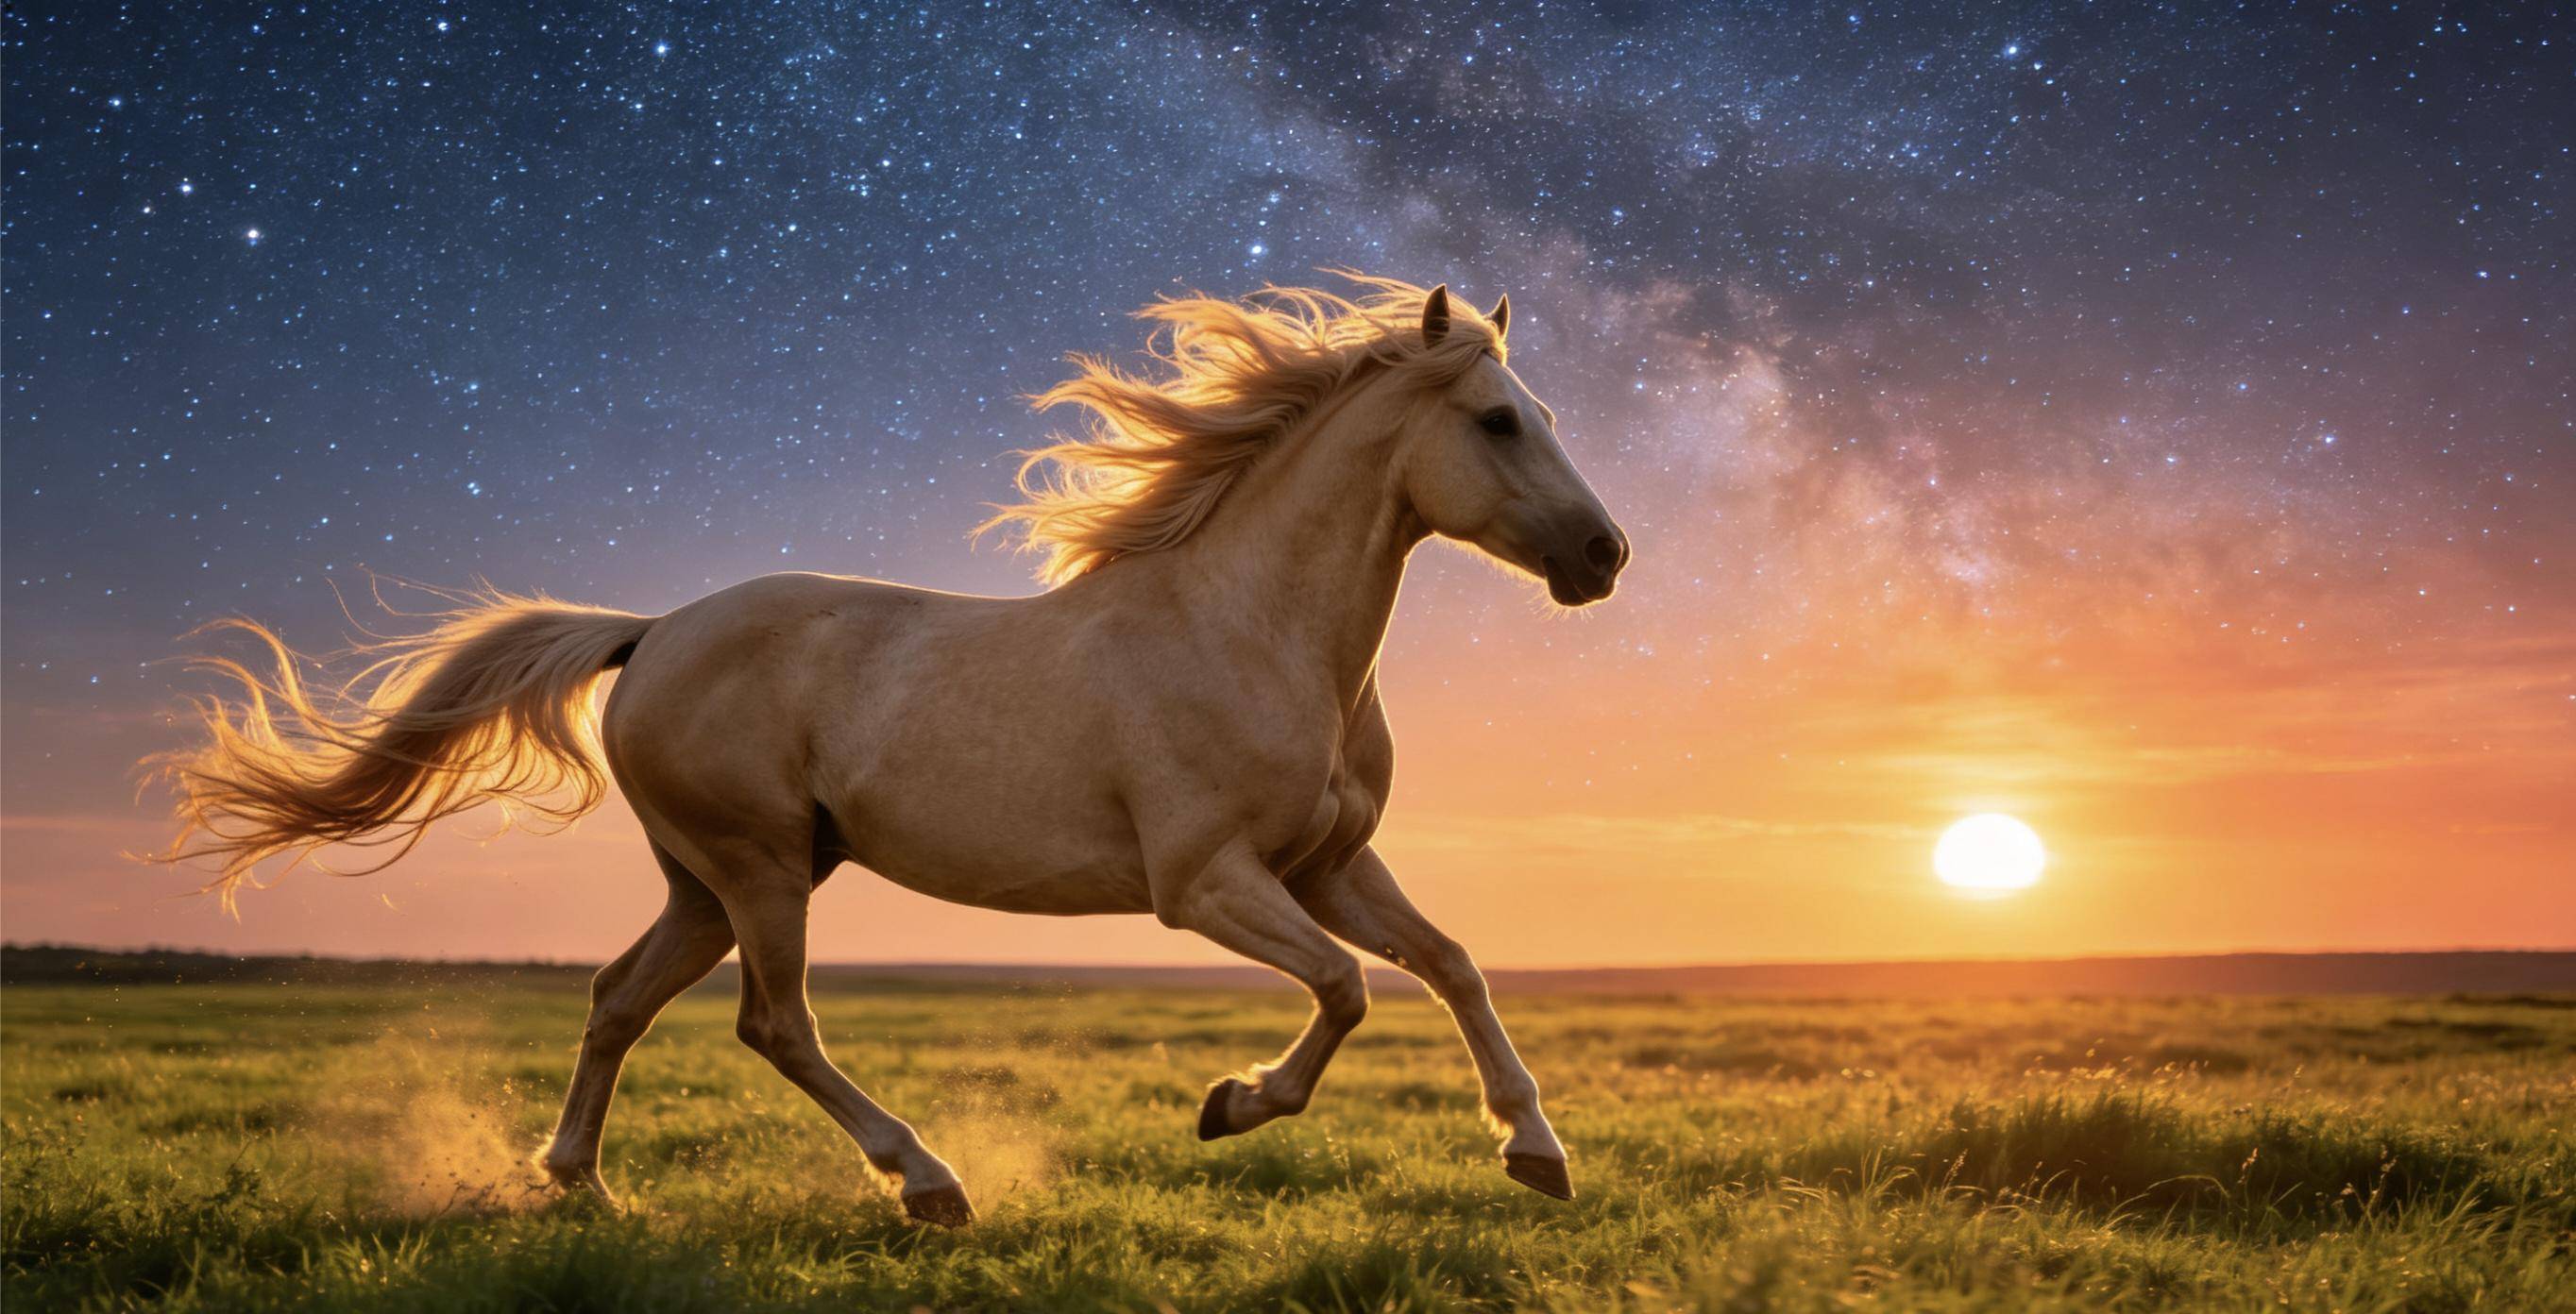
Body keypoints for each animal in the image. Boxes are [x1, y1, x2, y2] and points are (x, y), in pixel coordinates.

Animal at [146, 275, 1629, 1226]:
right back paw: (928, 1183)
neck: (1250, 628)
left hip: (712, 880)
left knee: (621, 999)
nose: (1605, 555)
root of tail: (653, 632)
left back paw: (579, 1187)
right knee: (772, 1022)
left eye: (1547, 414)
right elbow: (1345, 991)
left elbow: (1448, 963)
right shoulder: (1205, 881)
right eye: (1498, 421)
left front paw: (1538, 1152)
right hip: (758, 870)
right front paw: (1229, 1104)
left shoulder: (1328, 865)